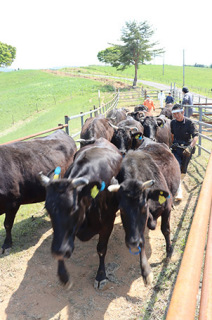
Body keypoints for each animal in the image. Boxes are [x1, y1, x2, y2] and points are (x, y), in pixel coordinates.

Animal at [38, 139, 121, 288]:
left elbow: (101, 249)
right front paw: (63, 274)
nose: (58, 251)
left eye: (74, 208)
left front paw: (101, 275)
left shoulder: (107, 223)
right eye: (48, 209)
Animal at [108, 142, 180, 284]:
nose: (132, 243)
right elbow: (141, 240)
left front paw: (169, 251)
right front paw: (145, 270)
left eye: (144, 206)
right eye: (121, 209)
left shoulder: (166, 208)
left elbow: (166, 229)